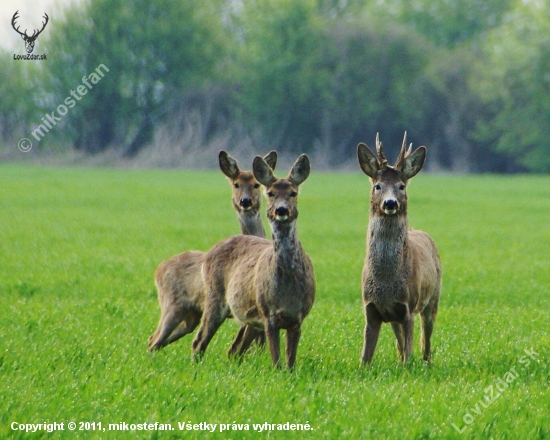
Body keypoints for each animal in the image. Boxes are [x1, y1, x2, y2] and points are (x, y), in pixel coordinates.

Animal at [148, 150, 278, 350]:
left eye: (256, 184)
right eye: (236, 184)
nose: (245, 201)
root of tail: (158, 270)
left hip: (191, 316)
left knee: (153, 339)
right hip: (172, 305)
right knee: (155, 339)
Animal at [193, 155, 314, 368]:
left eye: (293, 192)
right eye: (270, 193)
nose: (281, 210)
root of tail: (209, 252)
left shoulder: (298, 317)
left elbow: (290, 363)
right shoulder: (268, 314)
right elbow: (276, 361)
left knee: (233, 350)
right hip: (215, 297)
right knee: (199, 342)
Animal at [358, 133, 444, 364]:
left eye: (401, 186)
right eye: (378, 186)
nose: (390, 203)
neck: (386, 283)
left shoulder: (408, 308)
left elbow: (408, 355)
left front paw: (408, 366)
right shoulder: (370, 309)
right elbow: (365, 359)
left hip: (433, 298)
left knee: (426, 340)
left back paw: (427, 362)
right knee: (400, 344)